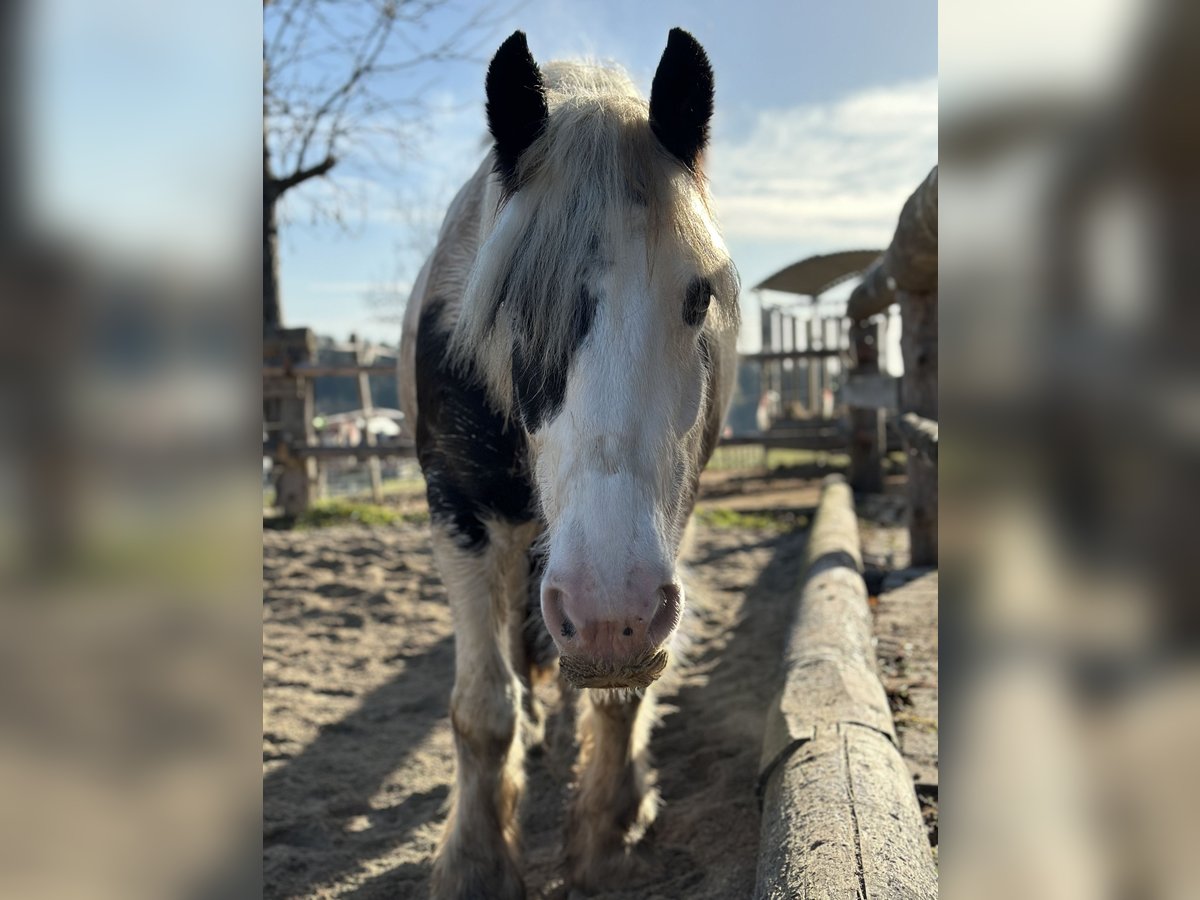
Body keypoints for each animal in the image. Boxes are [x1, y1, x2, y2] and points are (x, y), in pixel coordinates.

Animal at [398, 28, 734, 900]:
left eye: (698, 298)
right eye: (510, 304)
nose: (608, 612)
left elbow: (620, 699)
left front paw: (607, 832)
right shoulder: (460, 515)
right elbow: (482, 709)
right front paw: (476, 862)